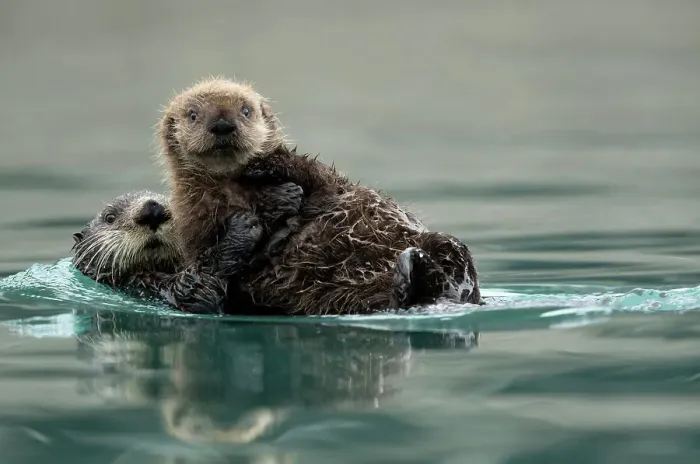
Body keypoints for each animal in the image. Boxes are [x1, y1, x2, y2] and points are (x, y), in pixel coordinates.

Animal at [157, 77, 482, 315]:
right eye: (193, 115)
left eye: (246, 111)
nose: (223, 125)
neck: (235, 188)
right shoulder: (194, 222)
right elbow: (207, 283)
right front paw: (248, 228)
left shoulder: (329, 186)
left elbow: (316, 175)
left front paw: (268, 170)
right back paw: (407, 276)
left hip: (444, 248)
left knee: (454, 260)